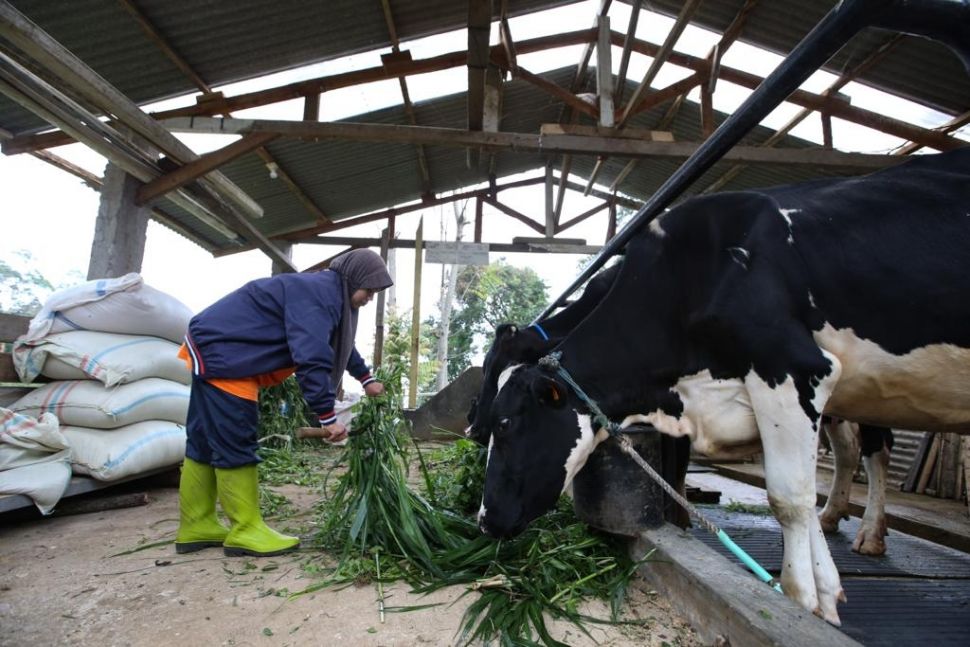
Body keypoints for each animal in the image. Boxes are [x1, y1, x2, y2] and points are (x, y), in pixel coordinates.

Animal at [474, 149, 968, 624]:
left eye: (505, 423)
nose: (484, 519)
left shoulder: (791, 367)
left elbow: (788, 496)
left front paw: (800, 598)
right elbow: (798, 489)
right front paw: (826, 592)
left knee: (874, 451)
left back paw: (869, 533)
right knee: (848, 453)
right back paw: (836, 518)